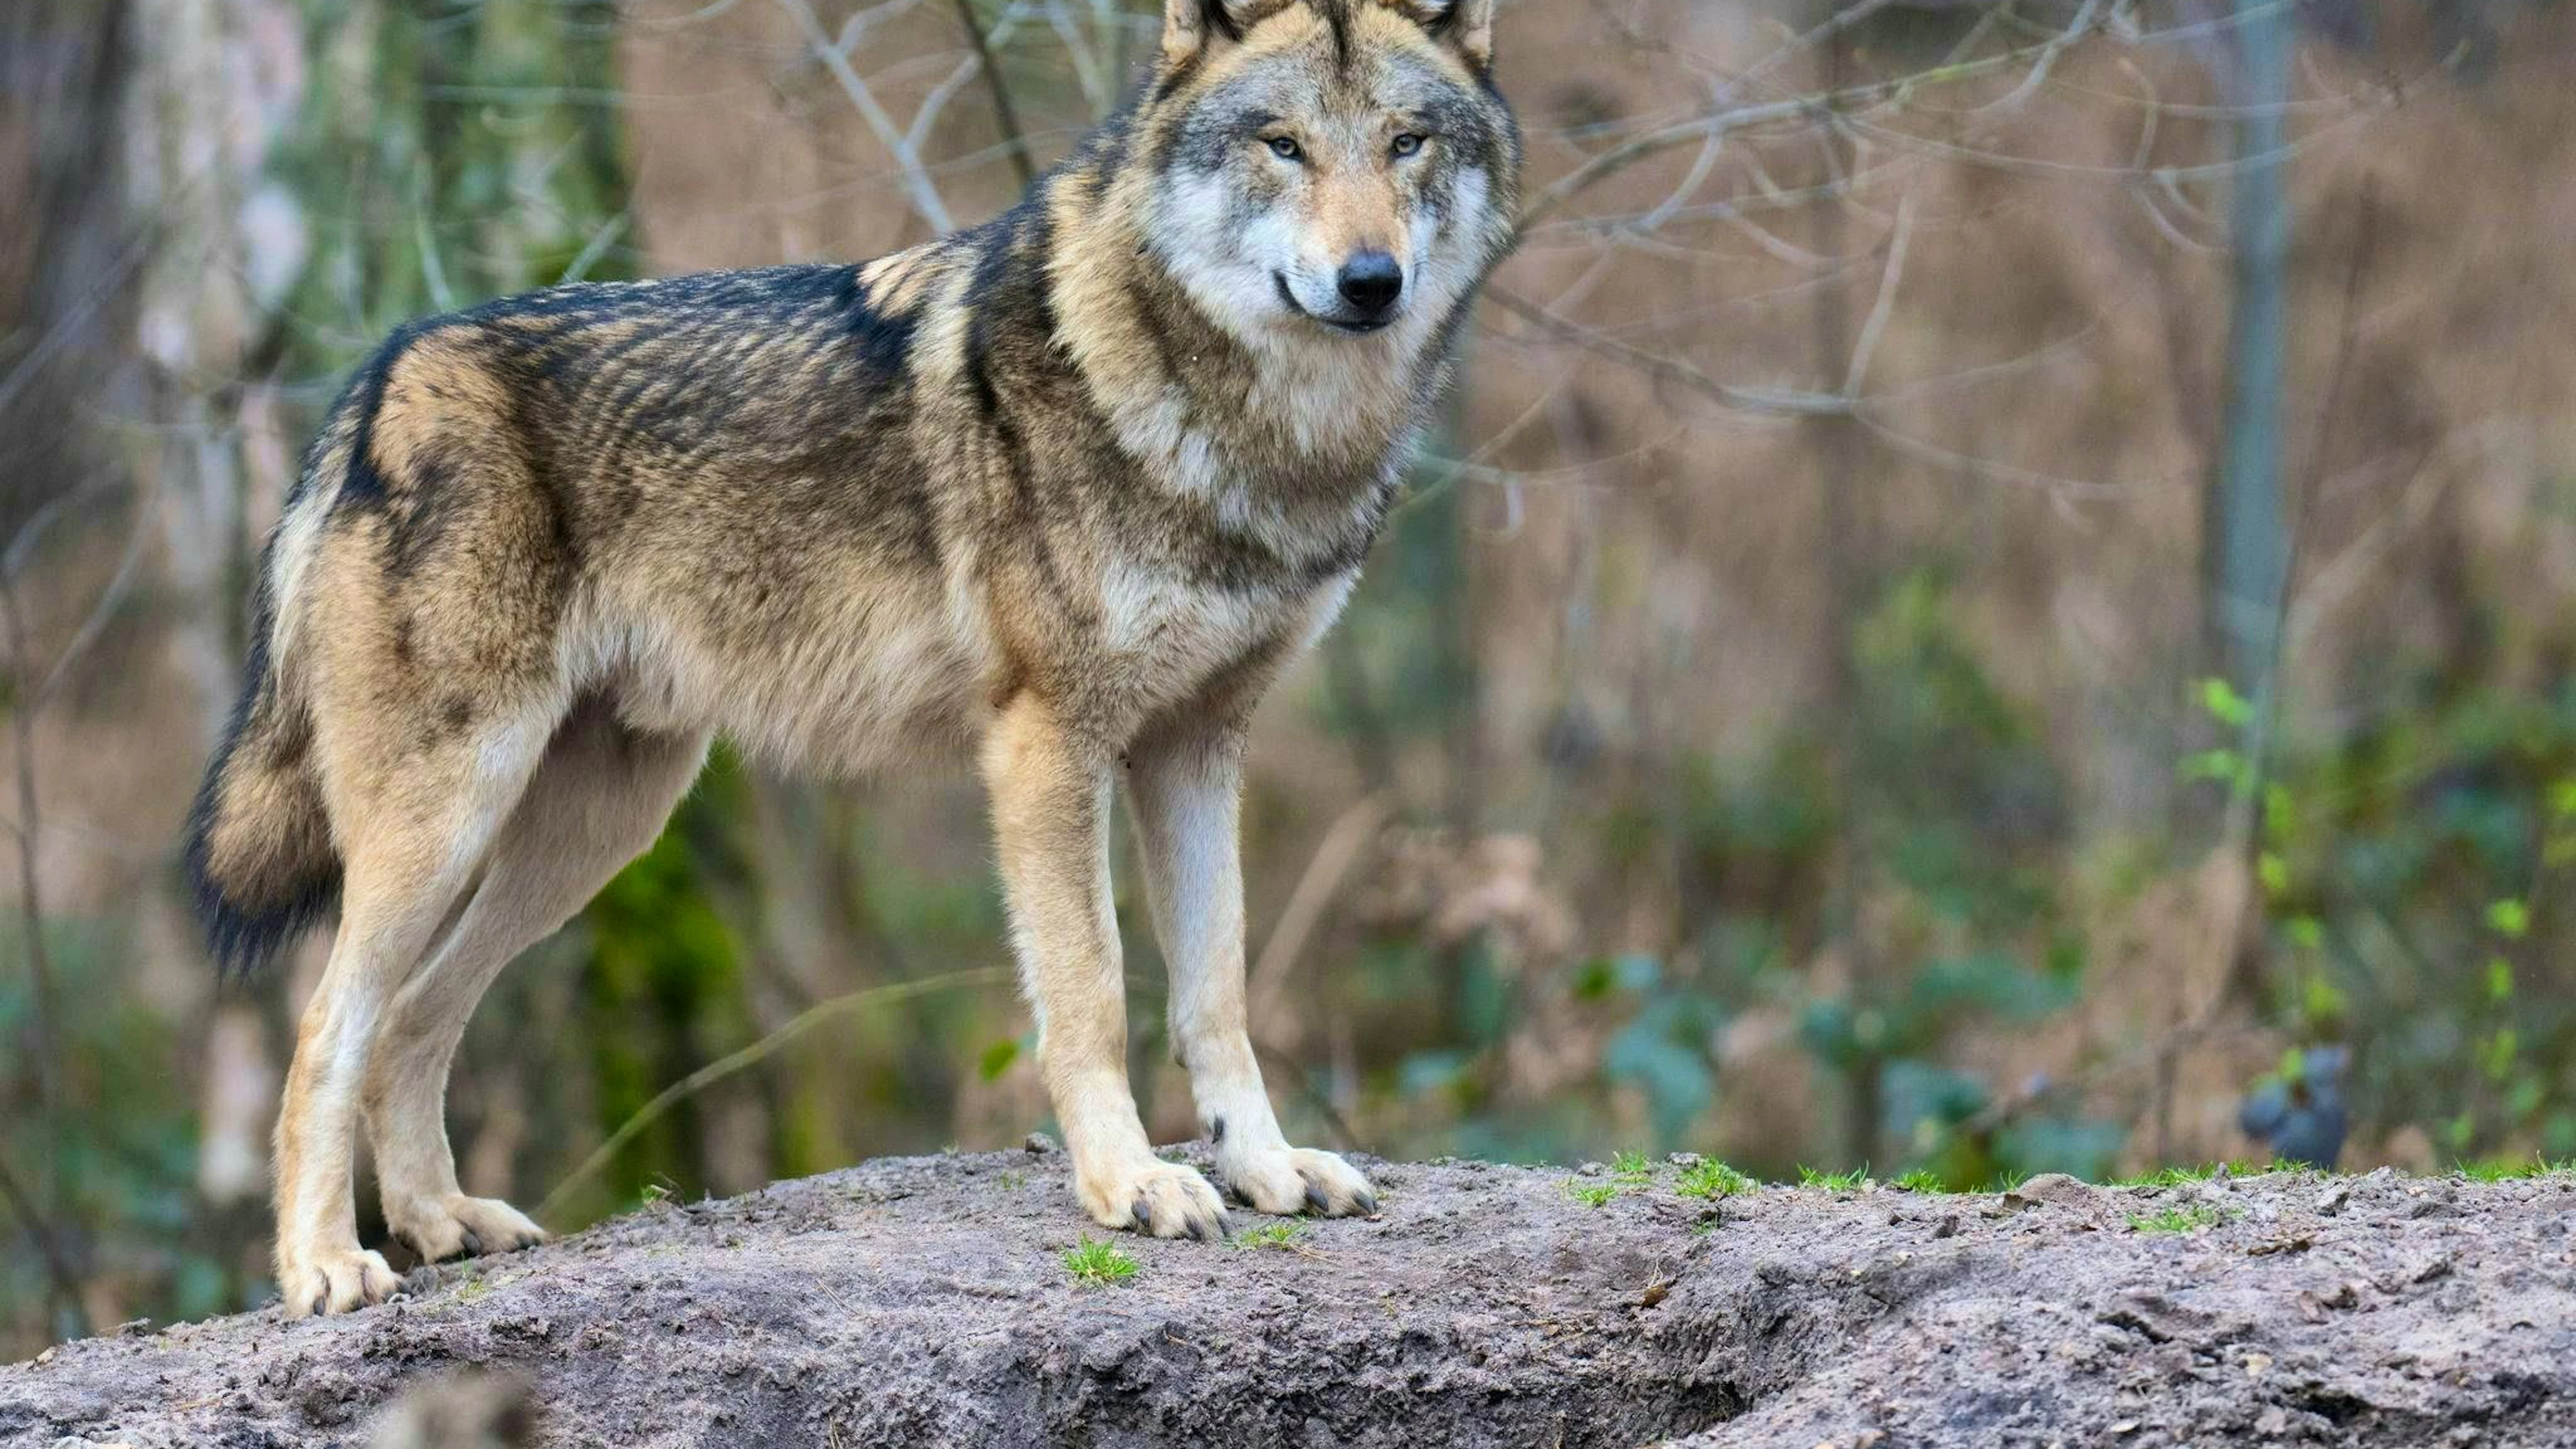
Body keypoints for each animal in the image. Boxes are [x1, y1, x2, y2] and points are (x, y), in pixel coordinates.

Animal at [182, 0, 1518, 1316]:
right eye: (1282, 145)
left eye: (1405, 143)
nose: (1371, 281)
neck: (1249, 433)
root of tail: (379, 377)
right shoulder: (1049, 743)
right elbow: (1092, 992)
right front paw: (1132, 1184)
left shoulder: (1197, 746)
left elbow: (1216, 988)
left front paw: (1263, 1166)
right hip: (451, 819)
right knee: (327, 1031)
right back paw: (324, 1267)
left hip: (593, 834)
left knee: (413, 1021)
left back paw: (442, 1222)